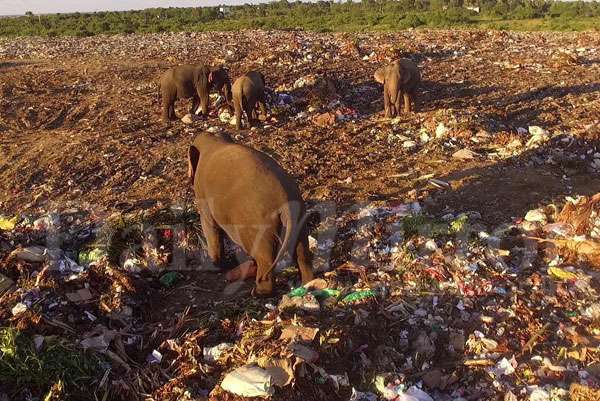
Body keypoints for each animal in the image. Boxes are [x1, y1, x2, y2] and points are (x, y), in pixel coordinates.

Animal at [189, 131, 316, 294]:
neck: (214, 140)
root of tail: (285, 202)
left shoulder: (202, 196)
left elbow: (210, 227)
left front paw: (215, 265)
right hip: (299, 217)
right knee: (302, 252)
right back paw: (307, 283)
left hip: (258, 225)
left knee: (264, 258)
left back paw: (259, 292)